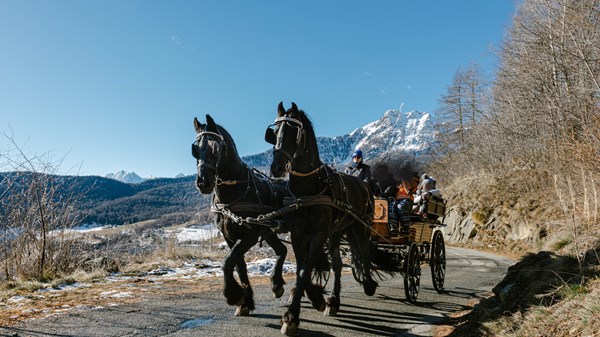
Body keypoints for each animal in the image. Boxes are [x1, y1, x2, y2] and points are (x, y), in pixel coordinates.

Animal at [191, 115, 288, 316]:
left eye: (215, 148)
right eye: (195, 150)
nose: (203, 183)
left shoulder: (250, 235)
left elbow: (228, 262)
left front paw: (232, 295)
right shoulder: (229, 236)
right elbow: (239, 265)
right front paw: (244, 301)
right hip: (269, 230)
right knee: (282, 250)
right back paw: (277, 284)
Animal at [264, 101, 386, 334]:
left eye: (294, 132)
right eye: (274, 133)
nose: (276, 168)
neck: (308, 188)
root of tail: (364, 185)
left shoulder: (318, 235)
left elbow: (306, 269)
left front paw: (291, 316)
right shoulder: (298, 235)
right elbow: (303, 267)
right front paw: (316, 298)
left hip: (360, 226)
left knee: (364, 253)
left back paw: (368, 284)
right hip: (337, 232)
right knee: (337, 264)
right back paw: (334, 301)